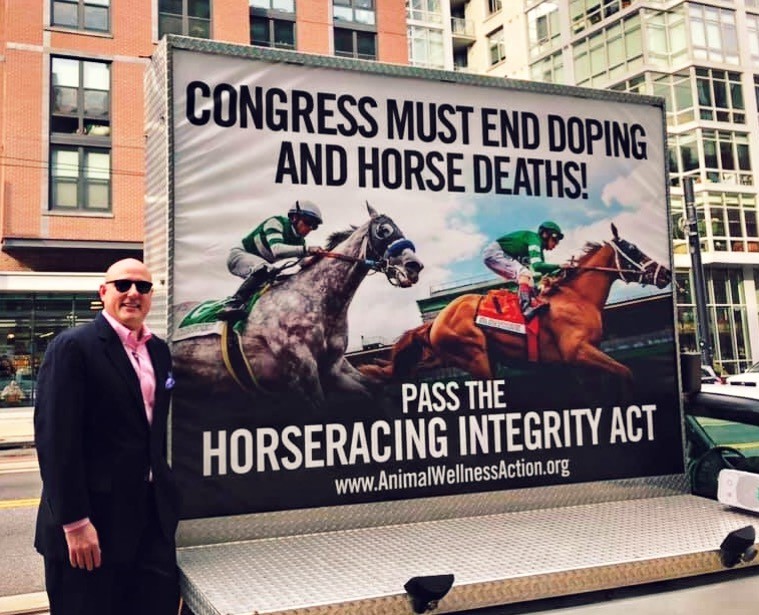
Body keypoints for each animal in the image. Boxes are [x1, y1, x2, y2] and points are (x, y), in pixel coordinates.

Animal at [171, 205, 428, 412]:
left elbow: (378, 391)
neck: (317, 299)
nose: (415, 266)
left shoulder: (334, 368)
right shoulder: (303, 373)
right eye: (383, 230)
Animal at [362, 224, 672, 382]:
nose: (666, 273)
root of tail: (437, 319)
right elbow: (627, 373)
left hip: (453, 354)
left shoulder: (577, 364)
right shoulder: (578, 352)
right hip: (474, 356)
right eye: (633, 249)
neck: (577, 297)